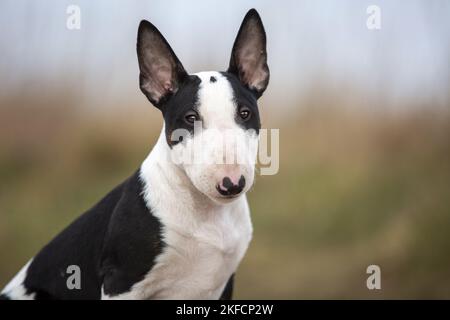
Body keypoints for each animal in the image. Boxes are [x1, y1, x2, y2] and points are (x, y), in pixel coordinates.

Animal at [0, 8, 268, 300]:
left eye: (245, 113)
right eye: (190, 118)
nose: (232, 183)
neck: (206, 215)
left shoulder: (222, 286)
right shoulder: (121, 282)